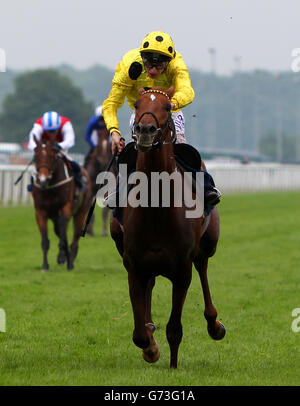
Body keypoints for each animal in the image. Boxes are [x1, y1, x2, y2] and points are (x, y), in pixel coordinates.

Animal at [31, 137, 92, 272]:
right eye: (36, 156)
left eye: (52, 156)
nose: (42, 180)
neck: (50, 187)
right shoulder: (40, 212)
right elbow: (45, 240)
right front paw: (45, 266)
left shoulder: (65, 208)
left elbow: (63, 231)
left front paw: (64, 259)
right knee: (59, 231)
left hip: (81, 211)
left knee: (75, 236)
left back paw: (71, 258)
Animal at [110, 87, 225, 370]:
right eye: (137, 104)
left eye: (166, 106)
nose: (145, 130)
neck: (157, 210)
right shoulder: (134, 265)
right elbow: (139, 333)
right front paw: (151, 347)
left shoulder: (182, 269)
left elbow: (175, 328)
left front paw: (173, 366)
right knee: (150, 287)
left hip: (208, 244)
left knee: (203, 268)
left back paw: (215, 324)